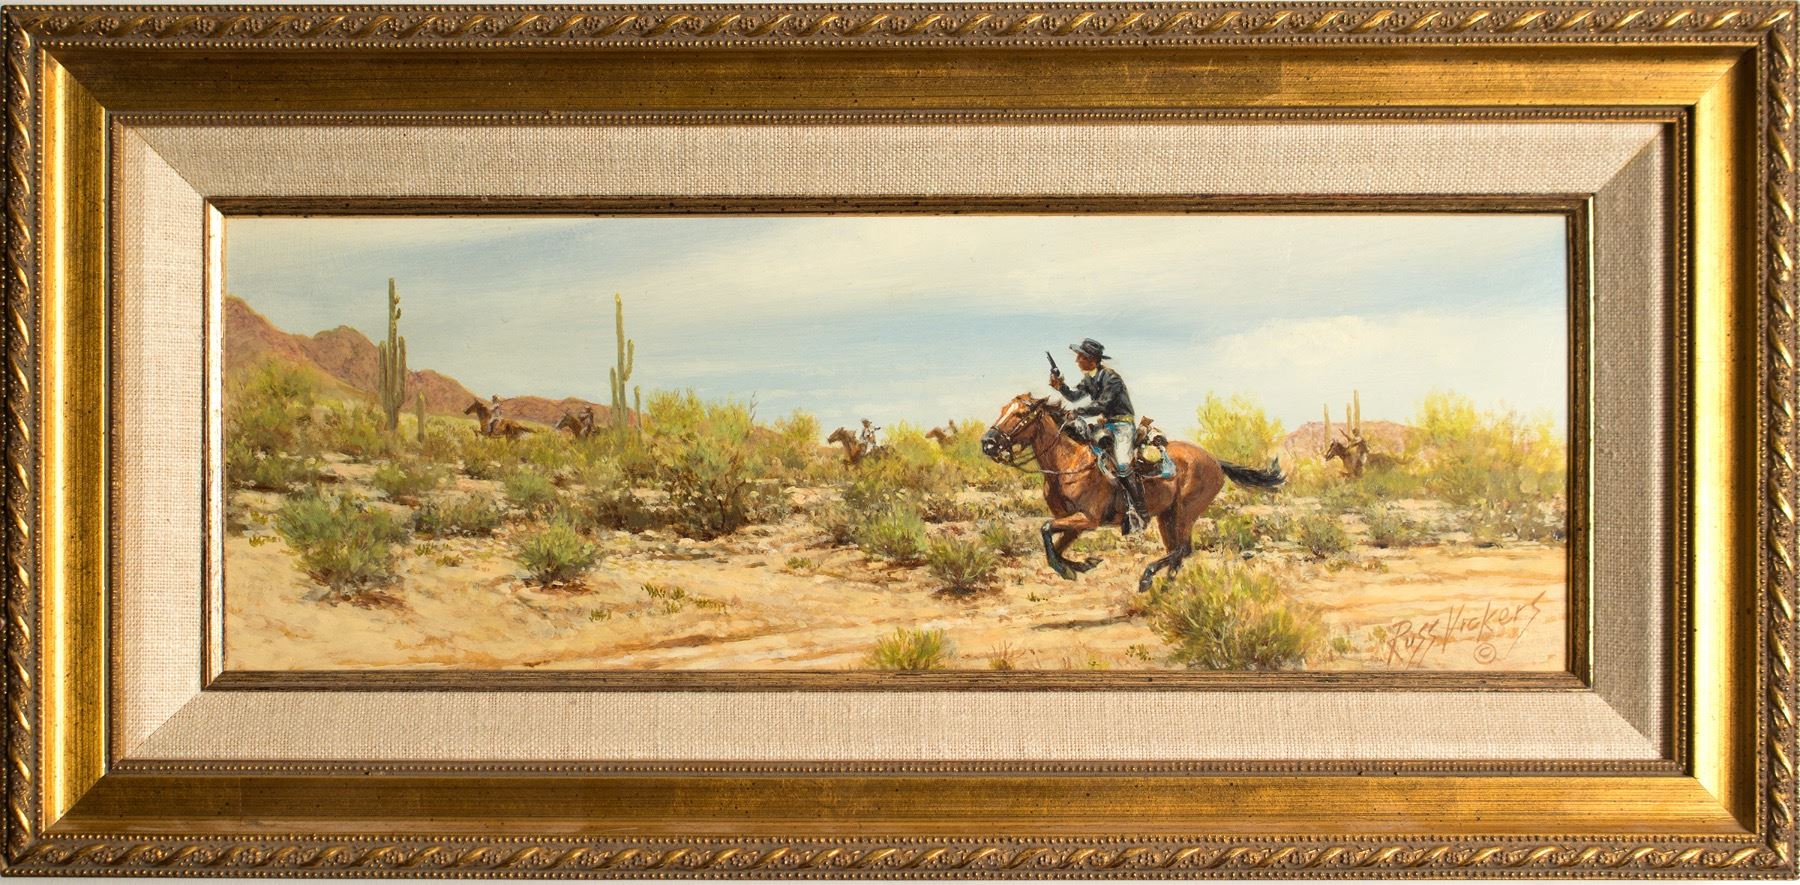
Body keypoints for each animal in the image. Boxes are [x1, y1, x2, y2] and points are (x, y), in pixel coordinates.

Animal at [980, 393, 1286, 592]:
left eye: (1020, 414)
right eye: (1003, 409)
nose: (988, 443)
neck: (1070, 461)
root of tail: (1214, 461)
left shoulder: (1088, 519)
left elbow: (1045, 530)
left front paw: (1068, 569)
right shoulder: (1075, 522)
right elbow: (1056, 544)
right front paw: (1080, 565)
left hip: (1184, 512)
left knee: (1182, 549)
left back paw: (1148, 579)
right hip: (1166, 516)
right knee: (1178, 552)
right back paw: (1165, 592)